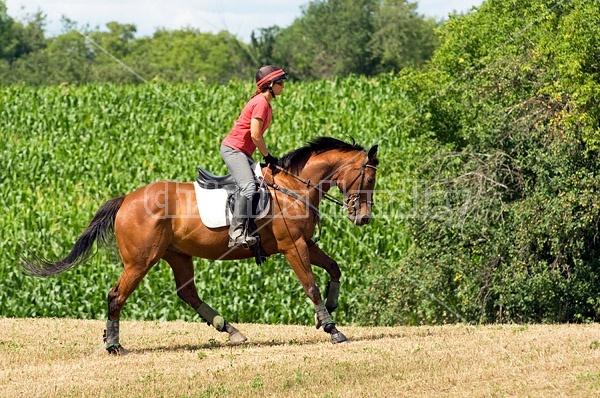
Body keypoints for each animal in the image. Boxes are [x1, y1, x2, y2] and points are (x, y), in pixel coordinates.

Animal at [24, 138, 380, 354]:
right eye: (369, 179)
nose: (363, 218)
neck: (295, 187)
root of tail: (125, 200)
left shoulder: (305, 242)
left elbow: (334, 268)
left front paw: (330, 308)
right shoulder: (294, 247)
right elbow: (311, 285)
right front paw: (332, 328)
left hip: (178, 255)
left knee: (187, 293)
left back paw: (230, 329)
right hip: (141, 261)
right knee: (117, 295)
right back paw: (114, 345)